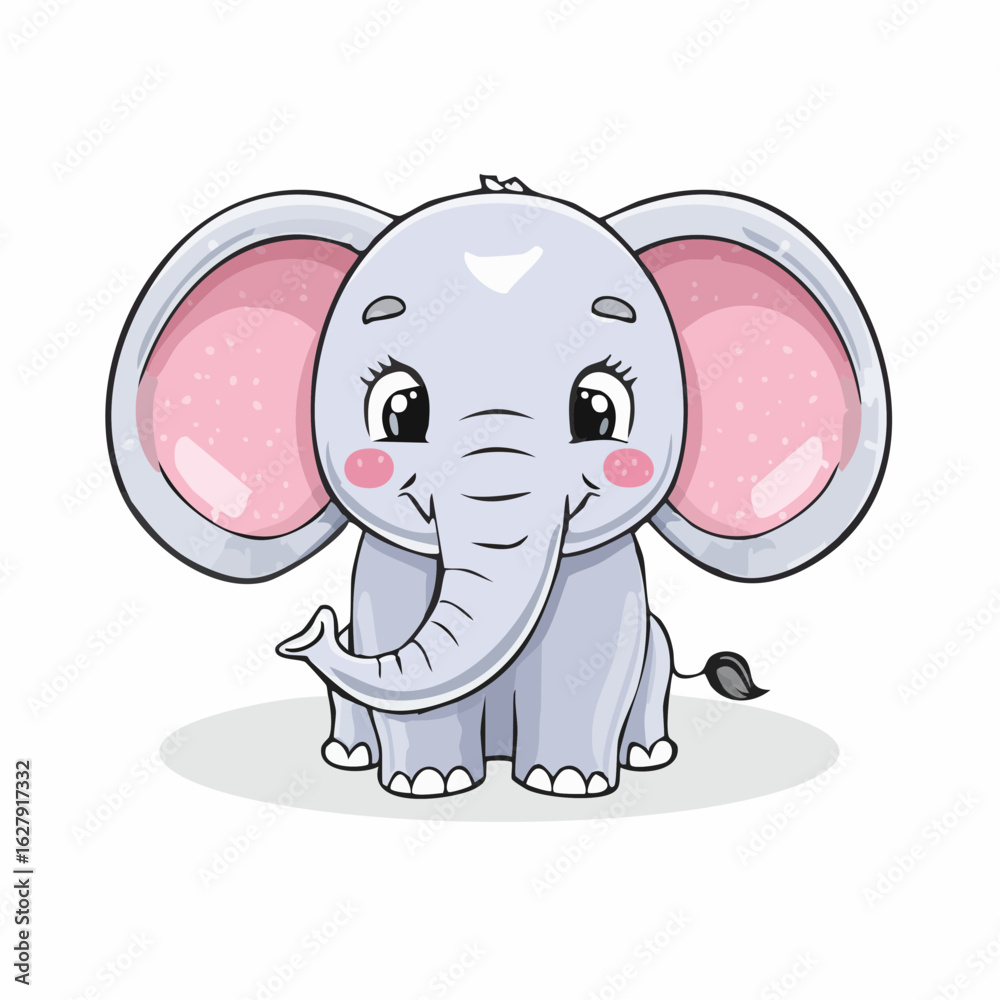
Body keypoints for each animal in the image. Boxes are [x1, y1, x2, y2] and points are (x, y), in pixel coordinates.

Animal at [107, 176, 890, 798]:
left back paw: (647, 756)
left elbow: (589, 658)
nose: (309, 629)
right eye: (399, 410)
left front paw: (568, 785)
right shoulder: (388, 577)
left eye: (599, 409)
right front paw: (429, 786)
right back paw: (350, 756)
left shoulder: (603, 579)